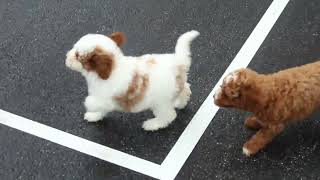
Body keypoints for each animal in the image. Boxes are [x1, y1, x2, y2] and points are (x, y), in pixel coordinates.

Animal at [66, 30, 199, 130]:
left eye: (77, 55)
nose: (67, 56)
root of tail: (178, 62)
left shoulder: (106, 99)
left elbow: (93, 102)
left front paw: (89, 106)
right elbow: (100, 109)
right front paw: (94, 116)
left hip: (160, 103)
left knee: (168, 116)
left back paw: (152, 124)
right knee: (186, 89)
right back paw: (180, 103)